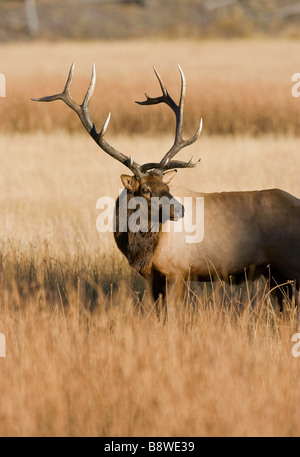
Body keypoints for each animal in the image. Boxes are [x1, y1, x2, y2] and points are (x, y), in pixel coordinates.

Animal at [32, 62, 300, 312]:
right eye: (146, 190)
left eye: (166, 187)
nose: (180, 211)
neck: (141, 250)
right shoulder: (154, 278)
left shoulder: (177, 270)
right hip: (276, 274)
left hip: (289, 264)